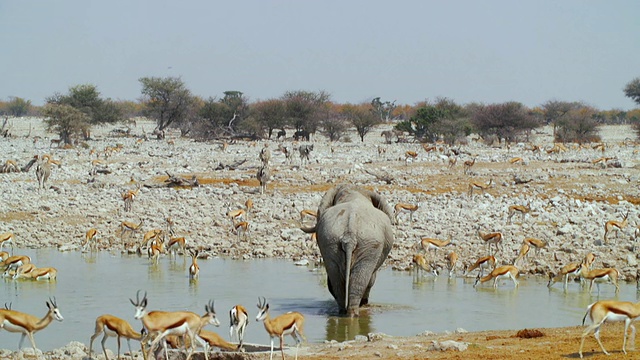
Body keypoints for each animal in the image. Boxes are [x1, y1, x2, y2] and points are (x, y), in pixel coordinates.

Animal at [302, 184, 396, 316]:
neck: (354, 192)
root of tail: (349, 236)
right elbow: (371, 279)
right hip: (369, 244)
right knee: (360, 280)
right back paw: (353, 312)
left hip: (331, 241)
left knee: (337, 280)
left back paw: (344, 311)